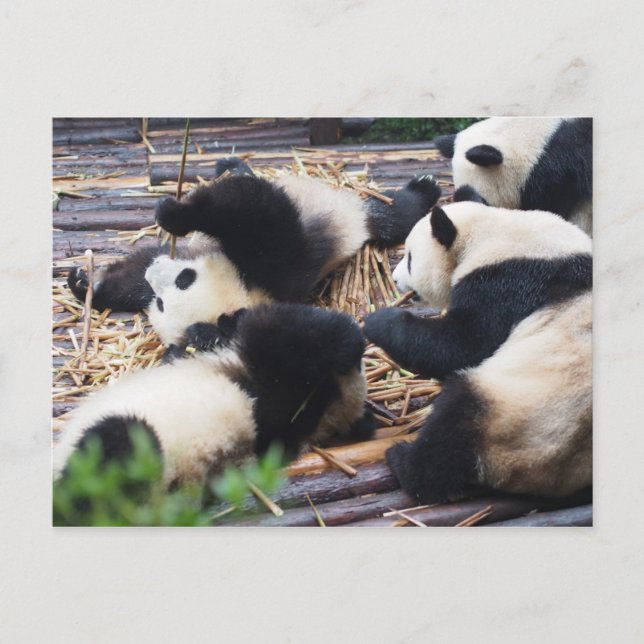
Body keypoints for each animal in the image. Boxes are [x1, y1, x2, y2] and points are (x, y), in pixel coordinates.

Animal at [67, 157, 441, 348]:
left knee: (388, 213)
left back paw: (423, 189)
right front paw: (85, 284)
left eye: (185, 279)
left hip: (353, 215)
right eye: (158, 304)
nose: (155, 275)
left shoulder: (273, 266)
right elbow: (134, 273)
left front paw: (175, 213)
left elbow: (253, 207)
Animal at [363, 201, 592, 503]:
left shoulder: (507, 286)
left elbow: (461, 344)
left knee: (456, 421)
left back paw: (404, 461)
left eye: (410, 258)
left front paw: (378, 321)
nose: (396, 278)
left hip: (522, 415)